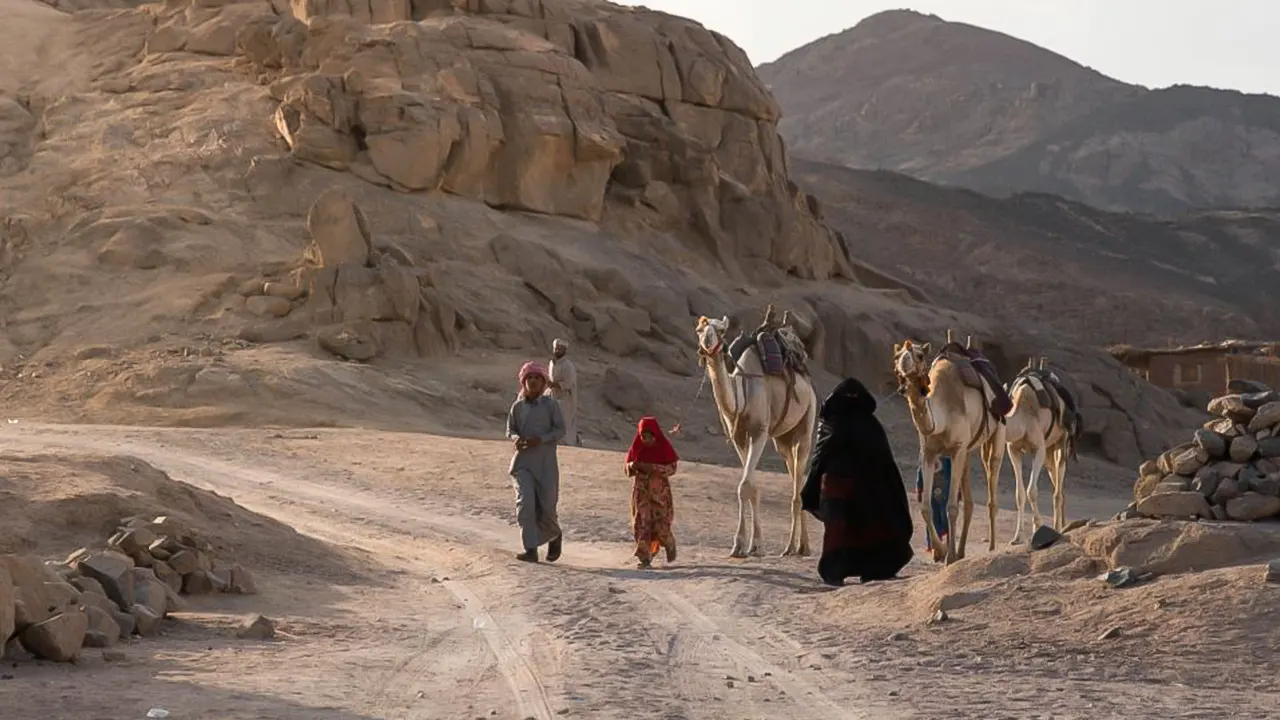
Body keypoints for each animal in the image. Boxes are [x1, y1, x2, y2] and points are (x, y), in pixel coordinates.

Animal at [696, 313, 814, 556]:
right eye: (699, 330)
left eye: (721, 330)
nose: (707, 342)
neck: (742, 396)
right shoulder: (739, 439)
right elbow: (751, 487)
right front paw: (750, 544)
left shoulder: (759, 432)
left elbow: (744, 487)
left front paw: (743, 544)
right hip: (783, 441)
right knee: (793, 475)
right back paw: (795, 546)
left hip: (807, 421)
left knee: (799, 480)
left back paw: (799, 547)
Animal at [896, 338, 1003, 563]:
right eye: (897, 356)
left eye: (919, 355)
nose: (903, 371)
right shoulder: (929, 453)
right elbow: (925, 508)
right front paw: (943, 550)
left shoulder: (957, 449)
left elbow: (952, 507)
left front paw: (950, 556)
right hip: (968, 451)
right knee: (969, 502)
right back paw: (962, 551)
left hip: (996, 435)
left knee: (992, 477)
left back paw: (990, 548)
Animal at [1003, 361, 1075, 540]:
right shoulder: (1013, 449)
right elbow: (1020, 494)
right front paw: (1017, 537)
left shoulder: (1039, 448)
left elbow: (1031, 491)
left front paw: (1041, 525)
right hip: (1049, 454)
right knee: (1058, 485)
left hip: (1060, 442)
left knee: (1058, 490)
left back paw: (1058, 528)